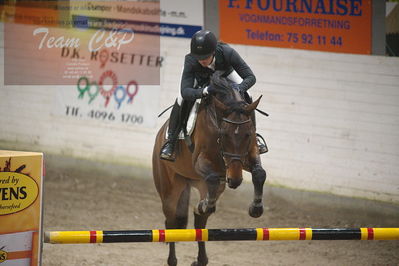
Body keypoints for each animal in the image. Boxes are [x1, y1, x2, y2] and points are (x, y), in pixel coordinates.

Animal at [152, 72, 266, 266]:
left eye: (248, 134)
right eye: (224, 134)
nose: (234, 180)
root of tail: (160, 134)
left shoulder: (247, 155)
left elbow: (259, 173)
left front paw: (256, 208)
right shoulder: (200, 160)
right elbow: (212, 176)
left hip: (207, 186)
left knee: (200, 221)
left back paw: (201, 256)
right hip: (169, 188)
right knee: (172, 222)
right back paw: (173, 259)